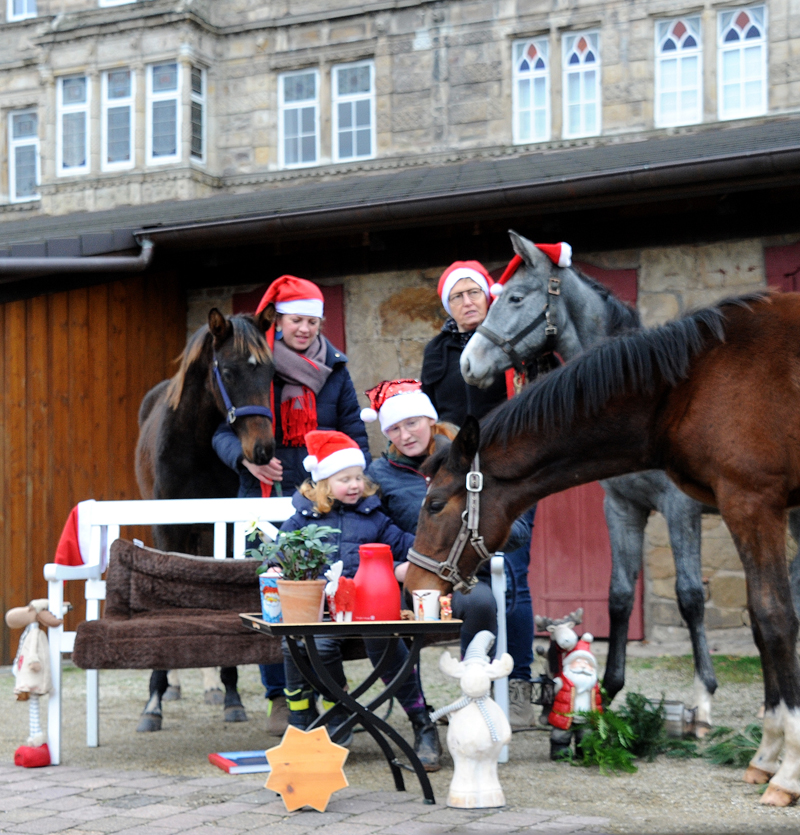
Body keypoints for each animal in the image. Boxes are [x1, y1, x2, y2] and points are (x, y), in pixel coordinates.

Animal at [134, 306, 276, 732]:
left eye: (271, 371)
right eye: (227, 371)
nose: (262, 450)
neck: (192, 444)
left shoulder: (224, 528)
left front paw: (230, 692)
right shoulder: (167, 529)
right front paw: (154, 701)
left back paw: (211, 684)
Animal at [410, 294, 800, 808]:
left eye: (435, 504)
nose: (413, 582)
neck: (688, 386)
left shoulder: (745, 503)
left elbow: (770, 618)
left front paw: (786, 769)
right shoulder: (646, 508)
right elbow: (751, 620)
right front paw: (767, 753)